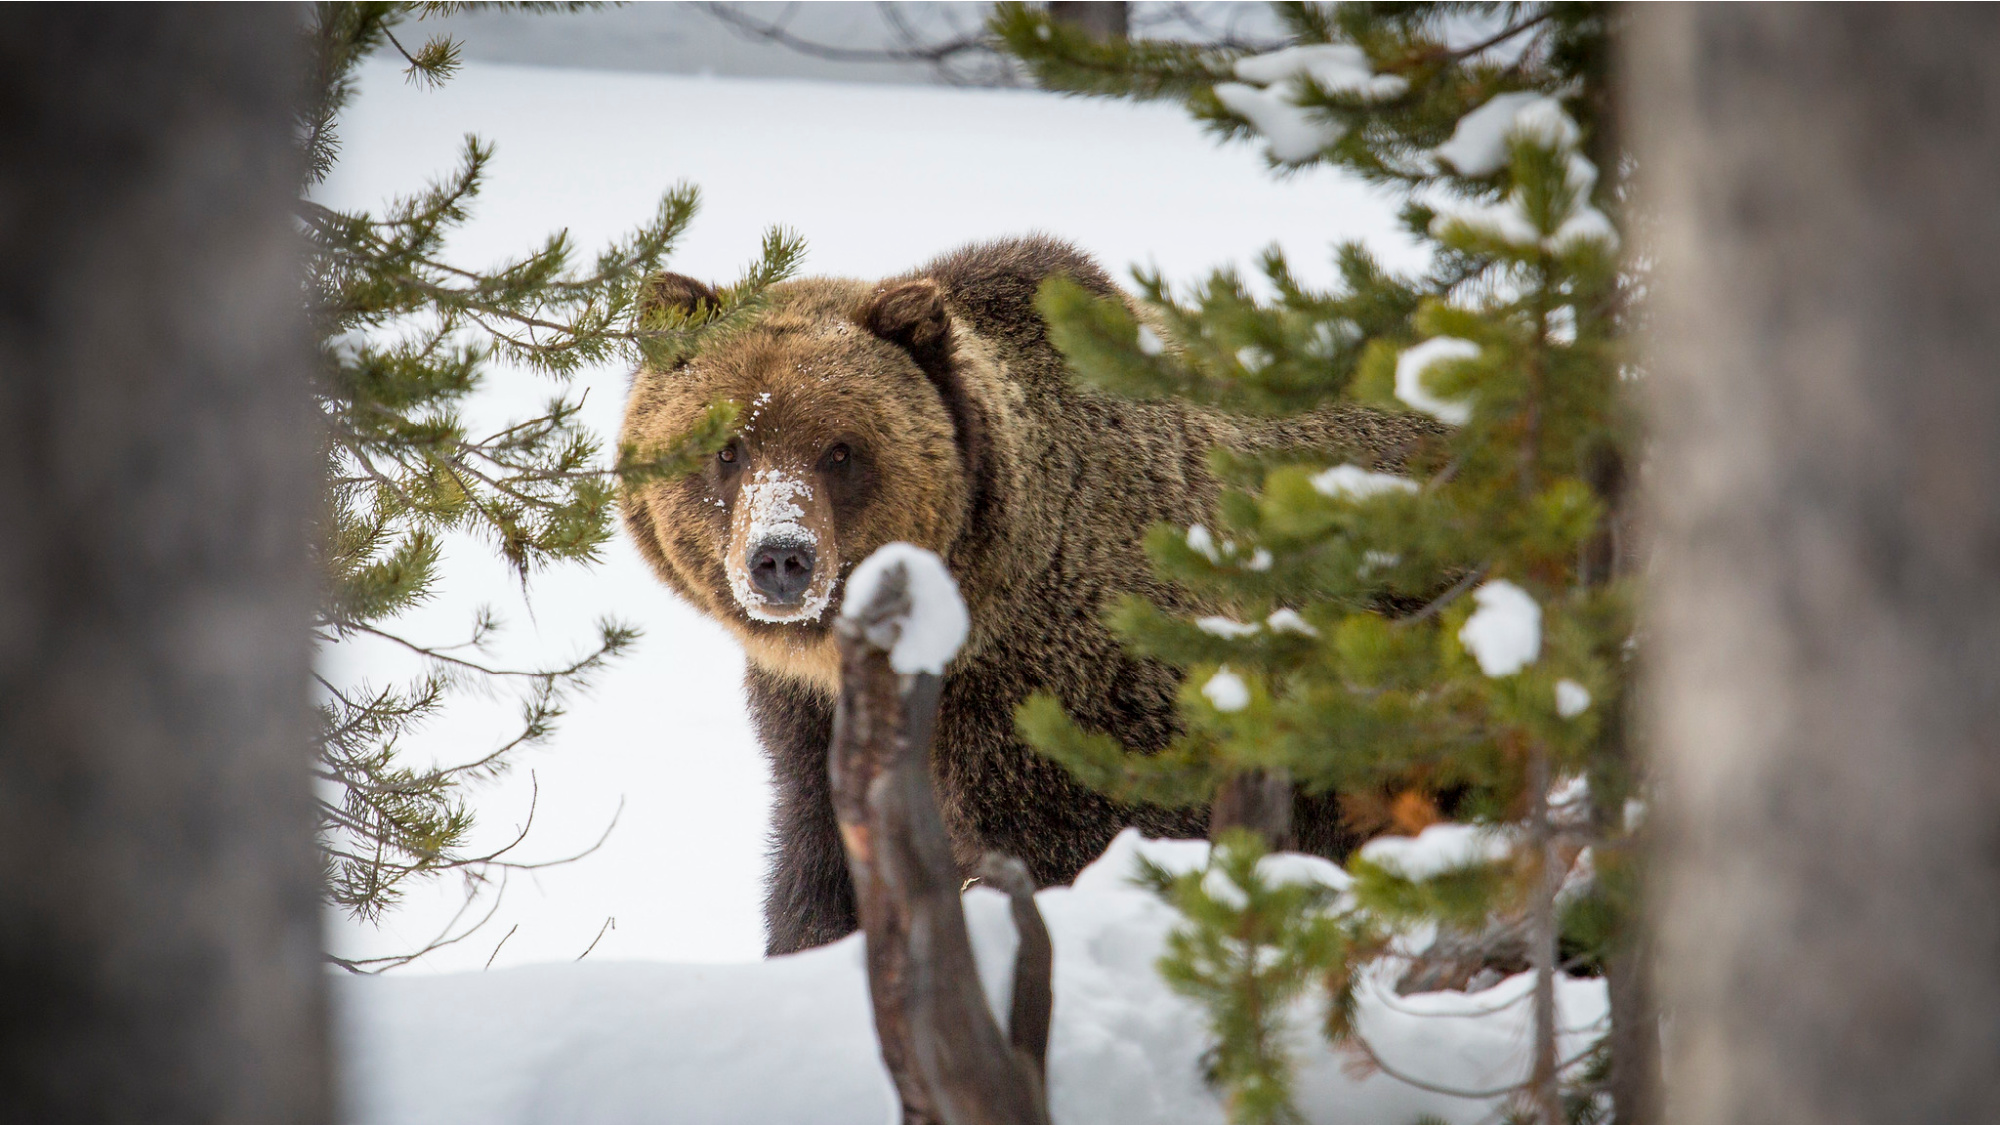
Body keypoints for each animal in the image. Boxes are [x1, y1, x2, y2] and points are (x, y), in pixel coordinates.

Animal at [619, 236, 1443, 955]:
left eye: (841, 449)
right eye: (727, 448)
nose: (782, 557)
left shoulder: (1071, 702)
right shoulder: (811, 725)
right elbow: (820, 876)